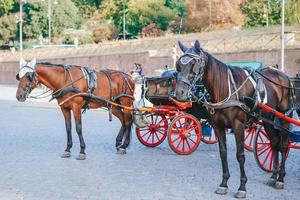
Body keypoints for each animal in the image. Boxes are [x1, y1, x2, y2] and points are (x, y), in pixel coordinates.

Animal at [175, 40, 292, 198]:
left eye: (194, 64)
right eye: (178, 65)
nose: (179, 93)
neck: (225, 88)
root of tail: (282, 74)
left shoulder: (238, 126)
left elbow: (240, 155)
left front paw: (242, 187)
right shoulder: (218, 126)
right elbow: (223, 153)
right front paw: (224, 183)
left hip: (284, 116)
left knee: (283, 144)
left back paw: (280, 178)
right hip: (267, 119)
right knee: (274, 142)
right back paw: (273, 176)